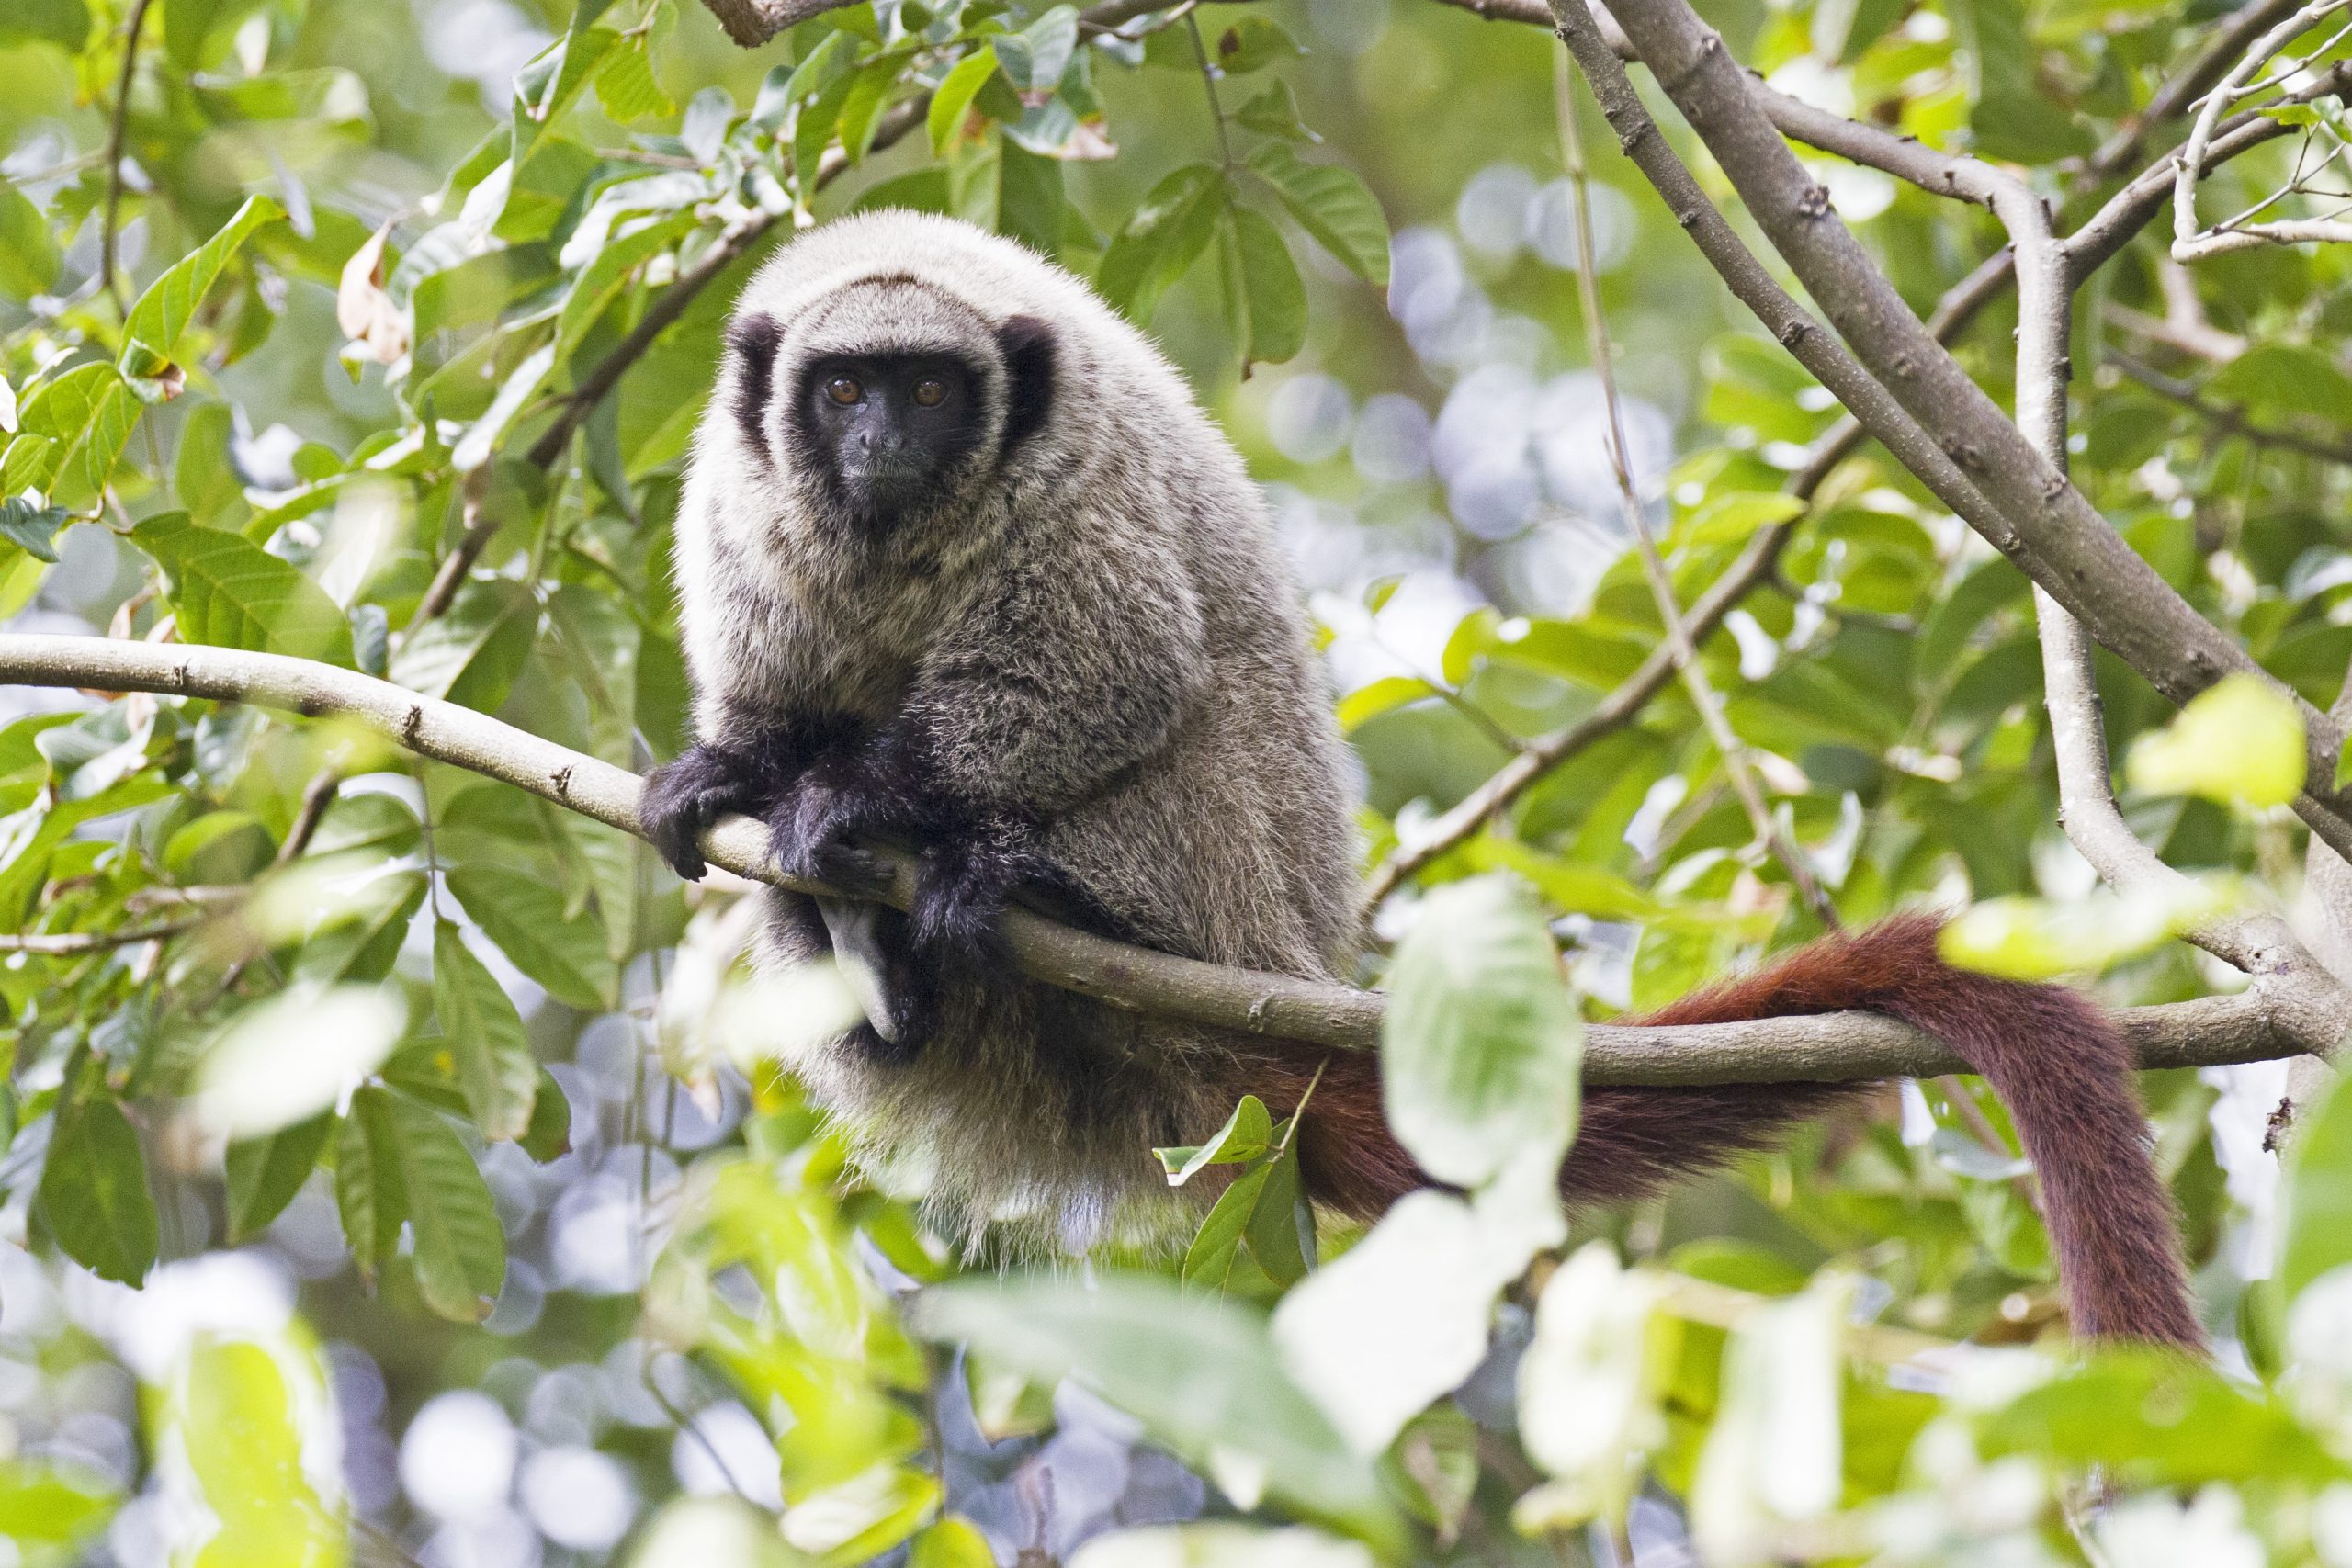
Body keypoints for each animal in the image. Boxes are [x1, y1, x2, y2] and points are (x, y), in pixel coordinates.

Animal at [644, 211, 2201, 1354]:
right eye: (843, 389)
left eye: (927, 388)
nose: (879, 444)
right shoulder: (735, 499)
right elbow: (770, 703)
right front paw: (737, 768)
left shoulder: (1071, 489)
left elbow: (1111, 675)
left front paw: (858, 802)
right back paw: (873, 965)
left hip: (1225, 889)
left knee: (1184, 714)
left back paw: (1021, 892)